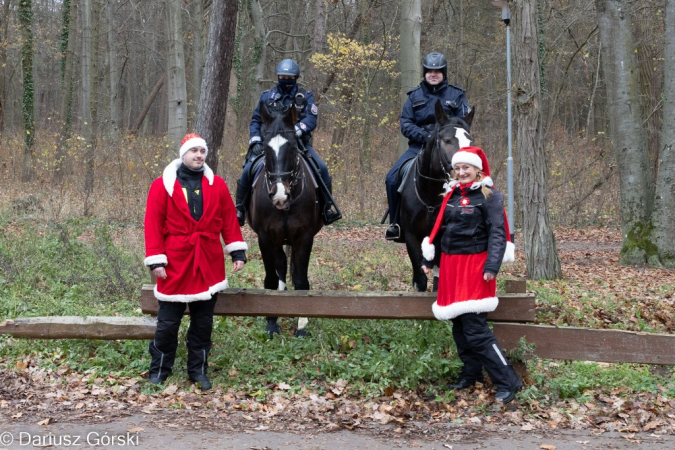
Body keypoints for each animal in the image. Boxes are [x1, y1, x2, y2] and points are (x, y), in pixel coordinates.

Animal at [248, 102, 324, 338]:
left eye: (292, 148)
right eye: (265, 148)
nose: (279, 195)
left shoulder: (305, 238)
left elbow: (301, 280)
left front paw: (301, 327)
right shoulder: (265, 238)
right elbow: (271, 279)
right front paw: (271, 323)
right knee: (280, 266)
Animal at [398, 100, 472, 292]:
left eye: (470, 141)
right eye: (447, 140)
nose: (463, 170)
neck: (430, 194)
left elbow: (439, 282)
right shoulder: (411, 236)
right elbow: (420, 279)